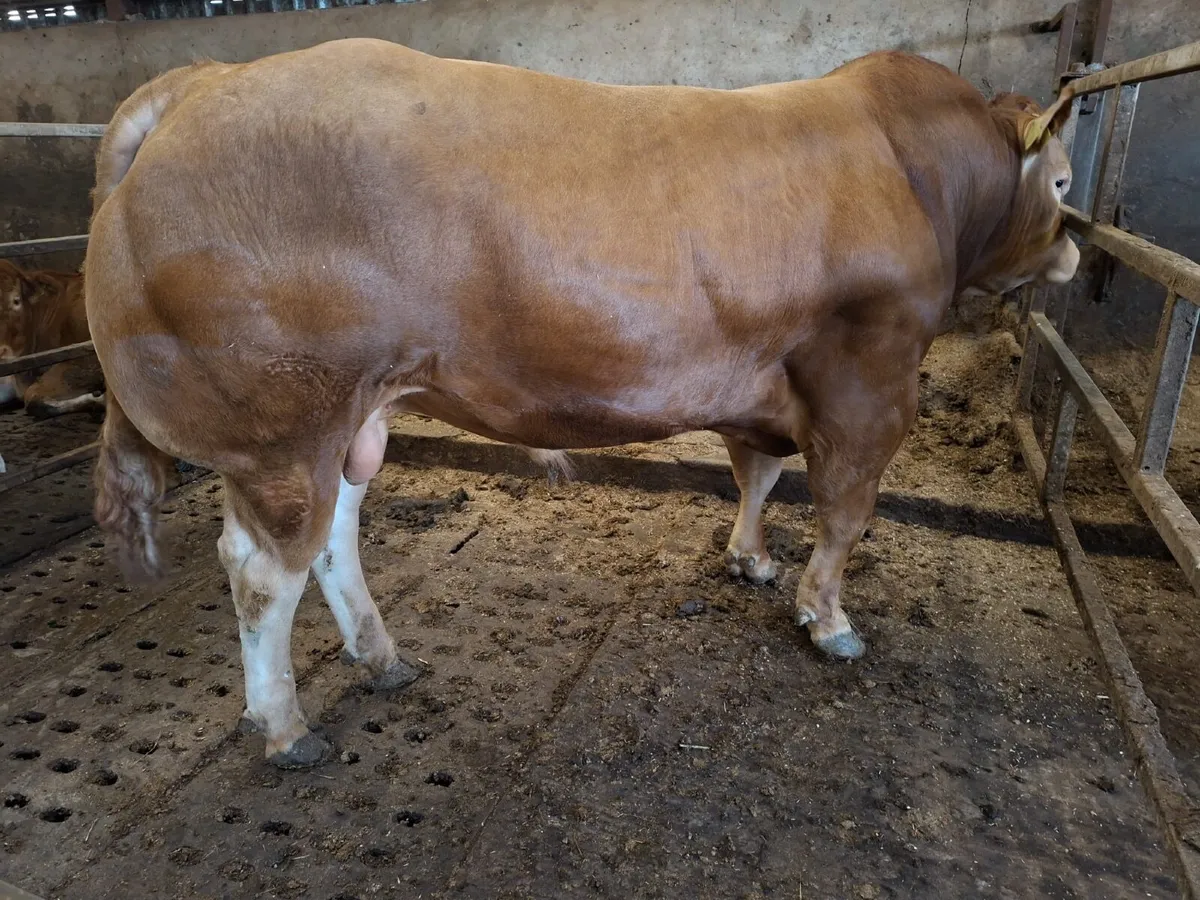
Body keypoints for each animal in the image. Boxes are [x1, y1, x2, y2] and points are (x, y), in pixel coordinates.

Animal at [84, 40, 1078, 767]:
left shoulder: (764, 379)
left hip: (352, 418)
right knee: (262, 570)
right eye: (1065, 182)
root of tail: (207, 80)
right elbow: (844, 510)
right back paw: (286, 727)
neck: (915, 166)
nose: (1075, 251)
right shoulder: (869, 375)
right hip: (281, 428)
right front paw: (828, 619)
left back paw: (382, 658)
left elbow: (757, 474)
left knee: (333, 537)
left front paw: (751, 560)